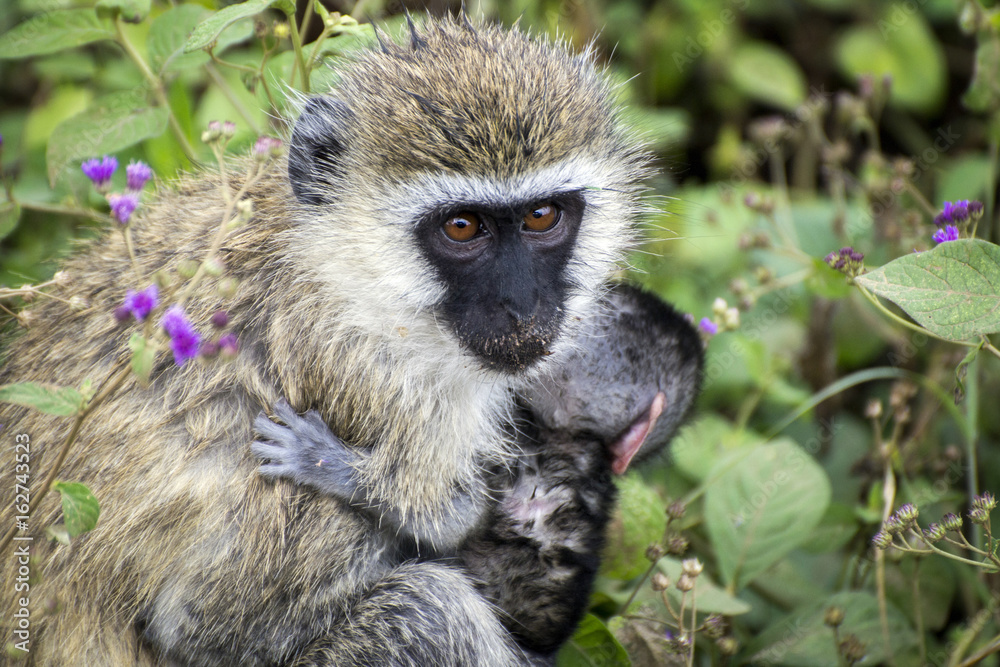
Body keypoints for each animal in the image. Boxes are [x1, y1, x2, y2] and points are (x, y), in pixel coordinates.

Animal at [0, 16, 655, 666]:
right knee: (428, 609)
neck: (339, 272)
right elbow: (207, 625)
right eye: (461, 227)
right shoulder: (391, 386)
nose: (521, 307)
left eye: (542, 216)